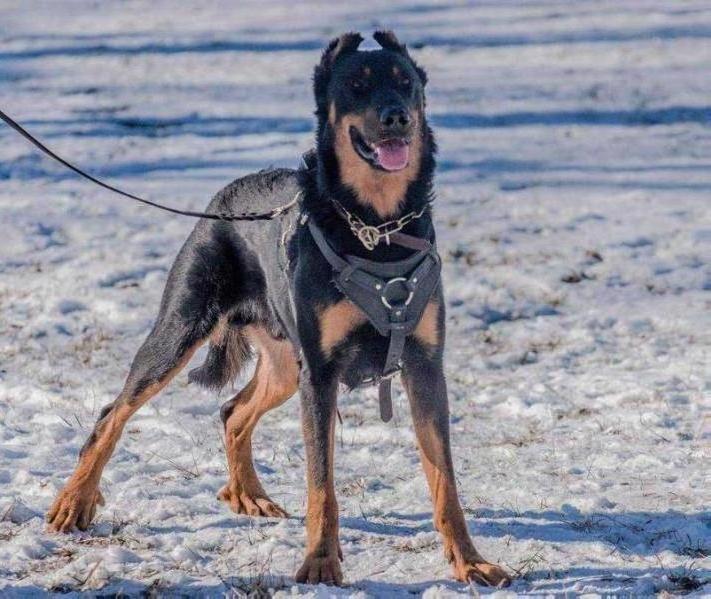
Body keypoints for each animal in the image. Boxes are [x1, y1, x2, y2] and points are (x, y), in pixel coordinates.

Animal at [46, 30, 512, 588]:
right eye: (357, 85)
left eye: (406, 83)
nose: (397, 116)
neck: (377, 228)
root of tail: (224, 197)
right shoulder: (322, 375)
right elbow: (322, 485)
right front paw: (320, 562)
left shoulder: (423, 367)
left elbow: (445, 482)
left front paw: (470, 560)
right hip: (182, 331)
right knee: (112, 413)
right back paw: (75, 502)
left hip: (286, 364)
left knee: (232, 411)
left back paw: (248, 494)